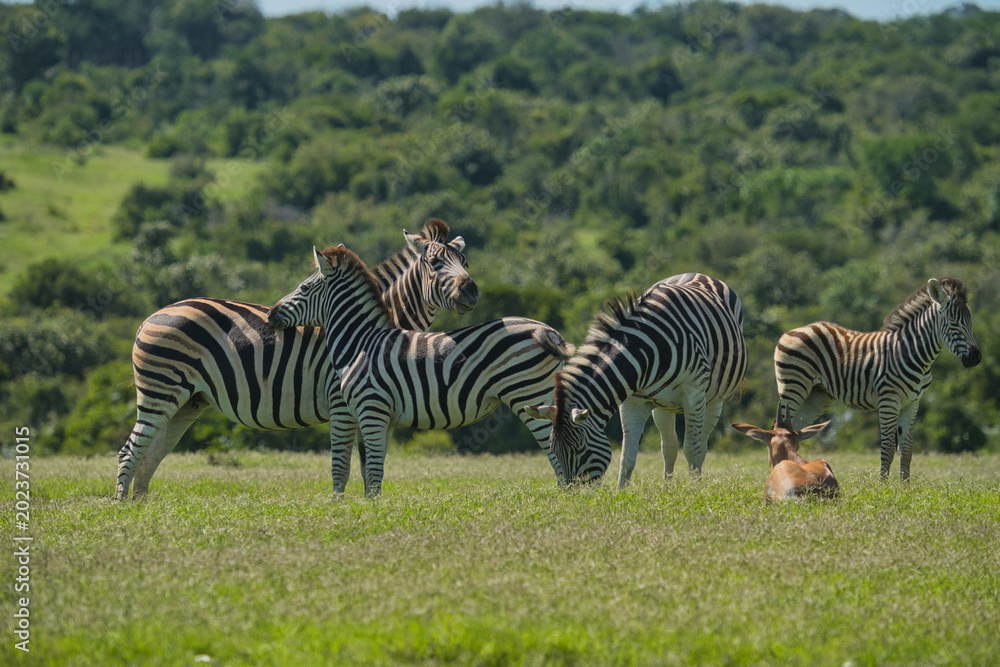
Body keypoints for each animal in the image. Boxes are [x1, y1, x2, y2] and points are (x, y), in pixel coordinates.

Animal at [115, 219, 478, 500]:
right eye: (434, 264)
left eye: (466, 262)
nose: (472, 291)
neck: (367, 328)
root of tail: (152, 315)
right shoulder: (345, 403)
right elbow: (349, 465)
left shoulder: (377, 404)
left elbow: (370, 466)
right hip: (160, 390)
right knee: (129, 452)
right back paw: (123, 512)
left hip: (189, 401)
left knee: (150, 455)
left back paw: (141, 509)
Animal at [266, 245, 575, 497]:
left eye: (304, 289)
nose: (271, 313)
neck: (360, 342)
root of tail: (549, 330)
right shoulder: (384, 417)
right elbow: (373, 471)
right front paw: (372, 509)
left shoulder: (370, 409)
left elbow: (369, 471)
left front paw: (368, 513)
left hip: (529, 394)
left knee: (555, 446)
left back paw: (564, 495)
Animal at [526, 273, 748, 486]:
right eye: (553, 450)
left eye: (579, 448)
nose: (573, 493)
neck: (647, 351)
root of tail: (697, 273)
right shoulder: (633, 402)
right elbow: (627, 457)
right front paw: (621, 492)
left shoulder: (693, 396)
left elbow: (693, 451)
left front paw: (694, 490)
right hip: (664, 406)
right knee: (669, 446)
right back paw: (668, 489)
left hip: (712, 400)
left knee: (700, 447)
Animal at [773, 277, 981, 481]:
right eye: (954, 323)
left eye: (971, 323)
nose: (976, 358)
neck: (911, 352)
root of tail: (795, 330)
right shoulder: (889, 401)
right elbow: (888, 448)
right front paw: (884, 486)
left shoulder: (912, 403)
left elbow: (907, 450)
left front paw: (905, 486)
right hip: (794, 387)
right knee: (780, 428)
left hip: (817, 396)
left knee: (794, 431)